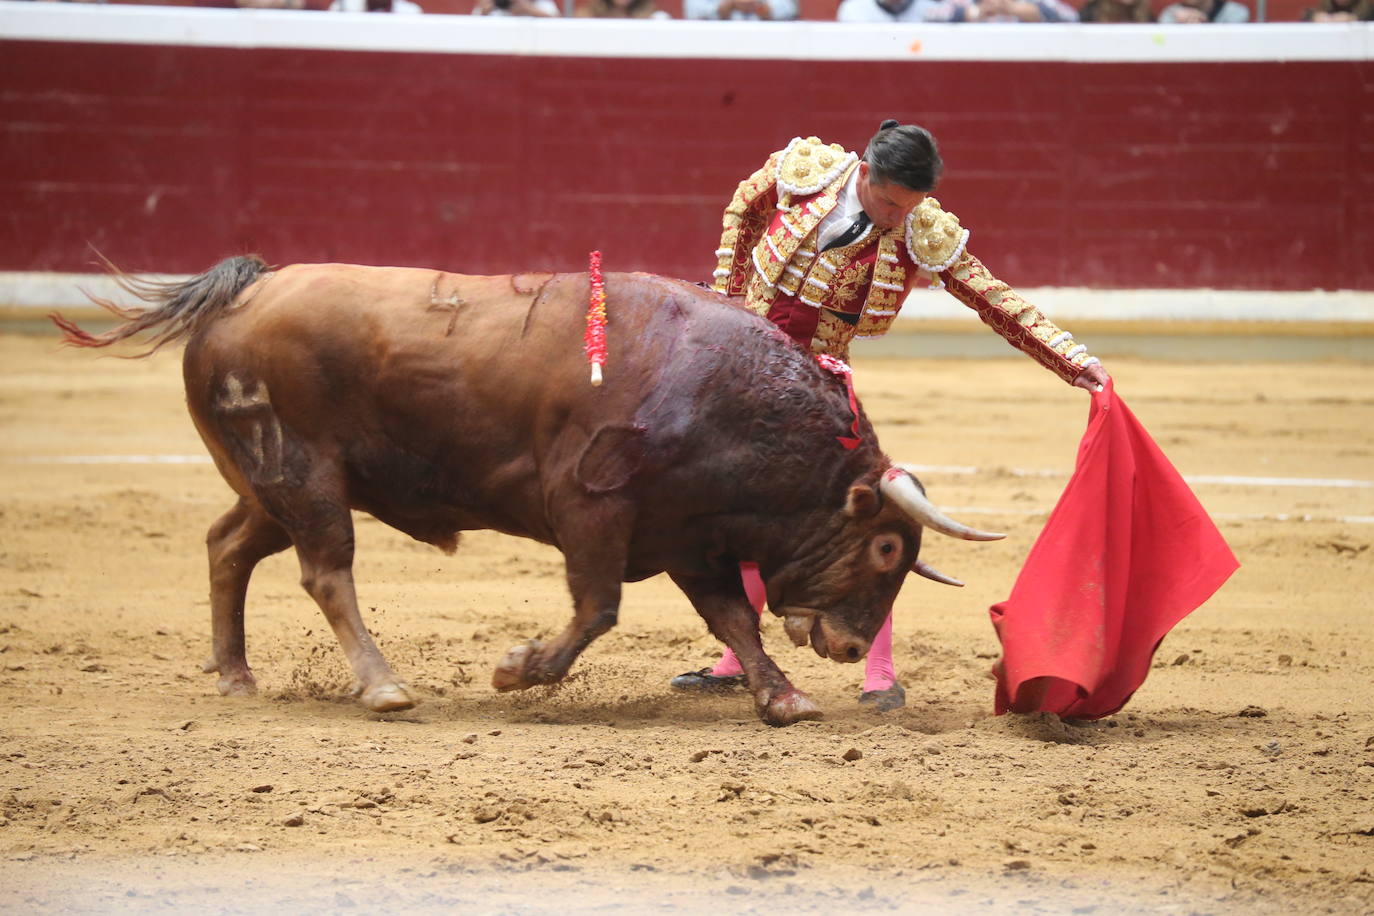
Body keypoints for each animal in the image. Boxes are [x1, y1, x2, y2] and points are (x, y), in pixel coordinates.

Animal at [56, 256, 1000, 725]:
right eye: (886, 546)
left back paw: (236, 676)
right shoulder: (592, 510)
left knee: (228, 546)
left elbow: (733, 617)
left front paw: (784, 698)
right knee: (327, 572)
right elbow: (599, 608)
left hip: (274, 485)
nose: (849, 645)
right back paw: (383, 687)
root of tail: (244, 292)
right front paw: (518, 672)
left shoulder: (688, 538)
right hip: (307, 478)